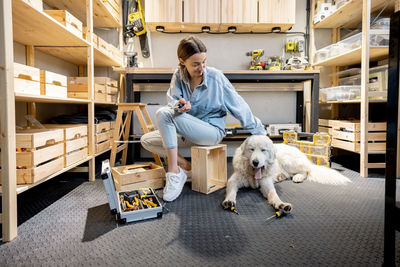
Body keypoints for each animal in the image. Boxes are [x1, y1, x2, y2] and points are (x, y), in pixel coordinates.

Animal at [222, 136, 350, 214]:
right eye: (251, 149)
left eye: (263, 150)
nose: (255, 162)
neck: (253, 173)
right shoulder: (233, 180)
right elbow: (231, 191)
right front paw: (229, 201)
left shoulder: (266, 184)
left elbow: (274, 195)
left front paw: (281, 205)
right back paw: (280, 176)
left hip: (287, 161)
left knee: (306, 171)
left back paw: (298, 177)